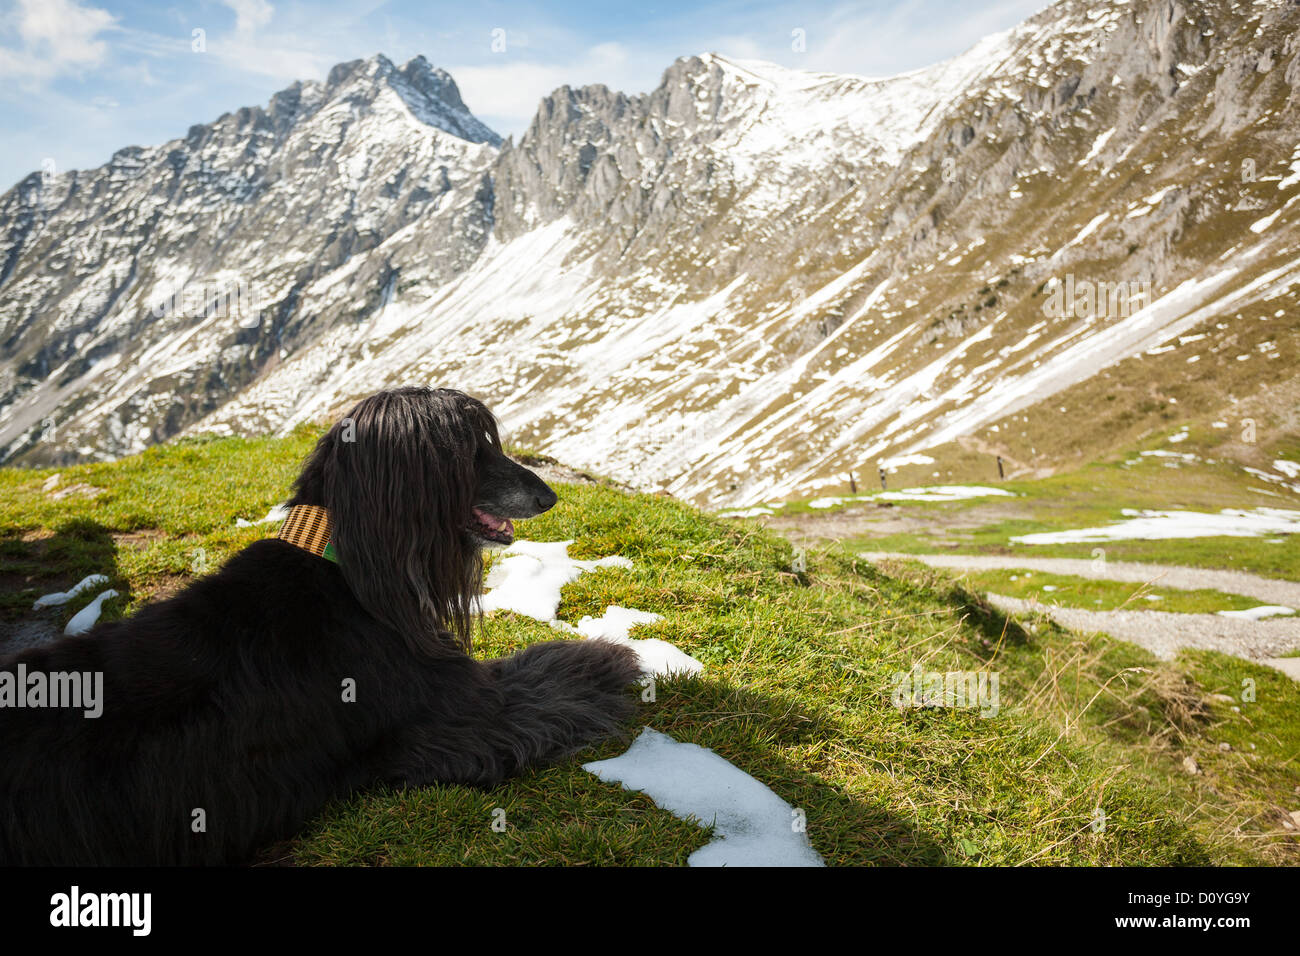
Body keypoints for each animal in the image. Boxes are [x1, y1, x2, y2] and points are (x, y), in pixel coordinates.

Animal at [0, 385, 642, 863]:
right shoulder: (456, 721)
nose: (548, 496)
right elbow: (547, 678)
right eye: (469, 451)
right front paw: (609, 658)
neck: (346, 565)